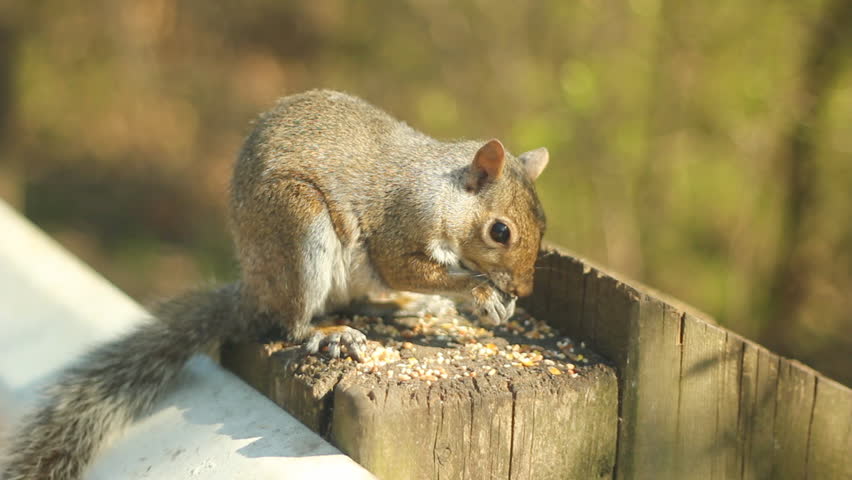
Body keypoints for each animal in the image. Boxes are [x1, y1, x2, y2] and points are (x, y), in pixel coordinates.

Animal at [1, 89, 549, 480]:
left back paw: (407, 308)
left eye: (543, 224)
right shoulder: (400, 226)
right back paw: (328, 334)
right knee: (291, 322)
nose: (523, 290)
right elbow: (405, 267)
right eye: (501, 231)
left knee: (361, 298)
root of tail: (254, 291)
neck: (444, 193)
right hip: (297, 228)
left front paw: (480, 303)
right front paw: (482, 293)